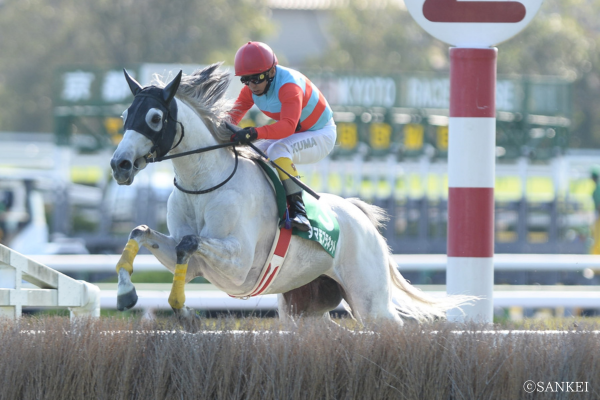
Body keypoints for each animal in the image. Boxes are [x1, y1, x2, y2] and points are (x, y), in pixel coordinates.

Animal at [110, 62, 472, 324]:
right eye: (125, 116)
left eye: (155, 117)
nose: (119, 164)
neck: (203, 184)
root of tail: (362, 219)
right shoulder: (194, 261)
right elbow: (141, 232)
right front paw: (127, 294)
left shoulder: (239, 262)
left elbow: (189, 243)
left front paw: (183, 310)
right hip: (302, 308)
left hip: (371, 301)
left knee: (394, 324)